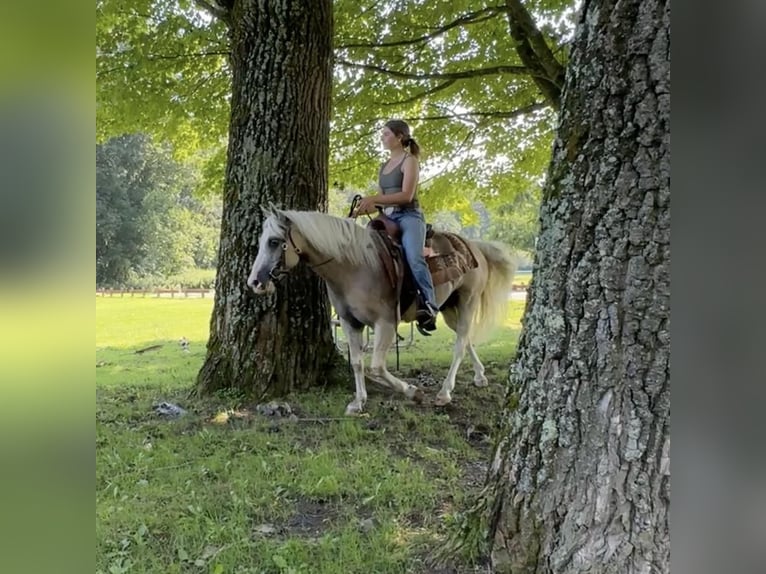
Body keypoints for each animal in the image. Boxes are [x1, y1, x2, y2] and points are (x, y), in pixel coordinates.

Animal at [249, 209, 520, 416]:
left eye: (274, 241)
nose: (255, 282)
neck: (354, 266)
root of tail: (474, 247)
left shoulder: (386, 323)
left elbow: (377, 367)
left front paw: (413, 392)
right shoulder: (349, 323)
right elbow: (357, 363)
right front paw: (358, 402)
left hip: (467, 302)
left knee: (459, 345)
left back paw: (444, 392)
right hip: (449, 308)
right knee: (466, 339)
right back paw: (480, 376)